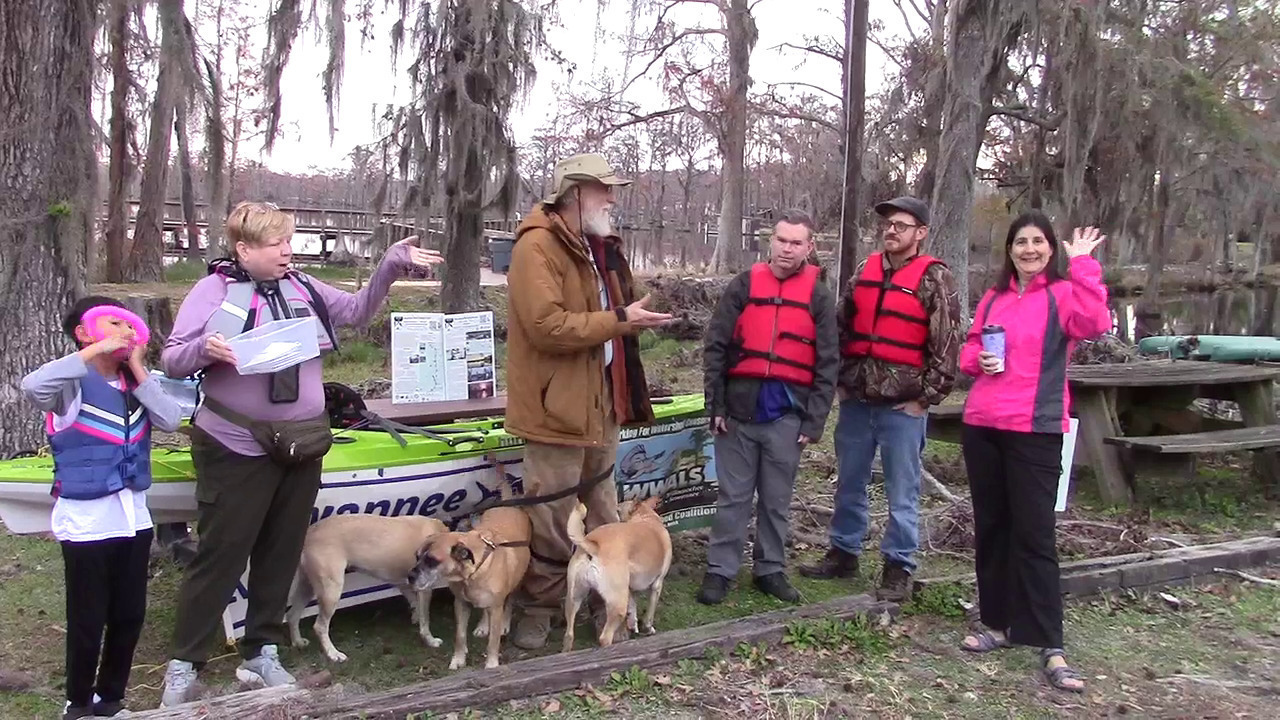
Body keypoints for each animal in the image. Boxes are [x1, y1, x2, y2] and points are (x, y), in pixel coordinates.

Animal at [288, 509, 448, 661]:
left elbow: (415, 604)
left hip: (307, 587)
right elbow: (425, 619)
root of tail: (309, 534)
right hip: (331, 591)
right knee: (320, 626)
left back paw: (298, 642)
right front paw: (430, 640)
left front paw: (415, 618)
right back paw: (333, 654)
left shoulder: (404, 583)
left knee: (292, 616)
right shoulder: (425, 588)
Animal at [409, 461, 529, 671]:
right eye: (417, 556)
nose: (410, 576)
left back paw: (504, 623)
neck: (471, 575)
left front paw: (491, 664)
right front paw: (458, 659)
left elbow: (493, 641)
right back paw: (482, 625)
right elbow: (460, 635)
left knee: (510, 602)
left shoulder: (496, 606)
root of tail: (509, 503)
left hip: (517, 581)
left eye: (432, 560)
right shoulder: (461, 604)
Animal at [565, 491, 675, 650]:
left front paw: (633, 625)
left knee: (568, 636)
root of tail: (593, 546)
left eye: (618, 509)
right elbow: (649, 616)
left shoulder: (629, 588)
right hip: (617, 606)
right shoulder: (657, 585)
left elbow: (633, 607)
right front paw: (648, 629)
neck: (646, 517)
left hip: (573, 598)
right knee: (604, 638)